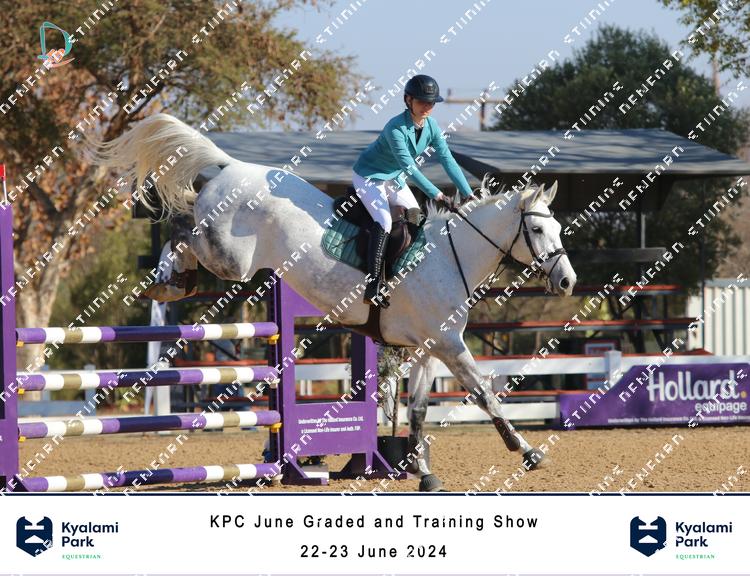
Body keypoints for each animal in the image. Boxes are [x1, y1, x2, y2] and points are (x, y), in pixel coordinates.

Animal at [93, 113, 577, 492]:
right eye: (537, 230)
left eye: (556, 228)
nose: (568, 281)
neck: (450, 254)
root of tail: (232, 166)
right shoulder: (450, 347)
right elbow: (485, 395)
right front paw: (527, 451)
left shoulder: (429, 349)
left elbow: (419, 412)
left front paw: (424, 473)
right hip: (231, 258)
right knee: (181, 223)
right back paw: (168, 282)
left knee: (185, 217)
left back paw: (174, 279)